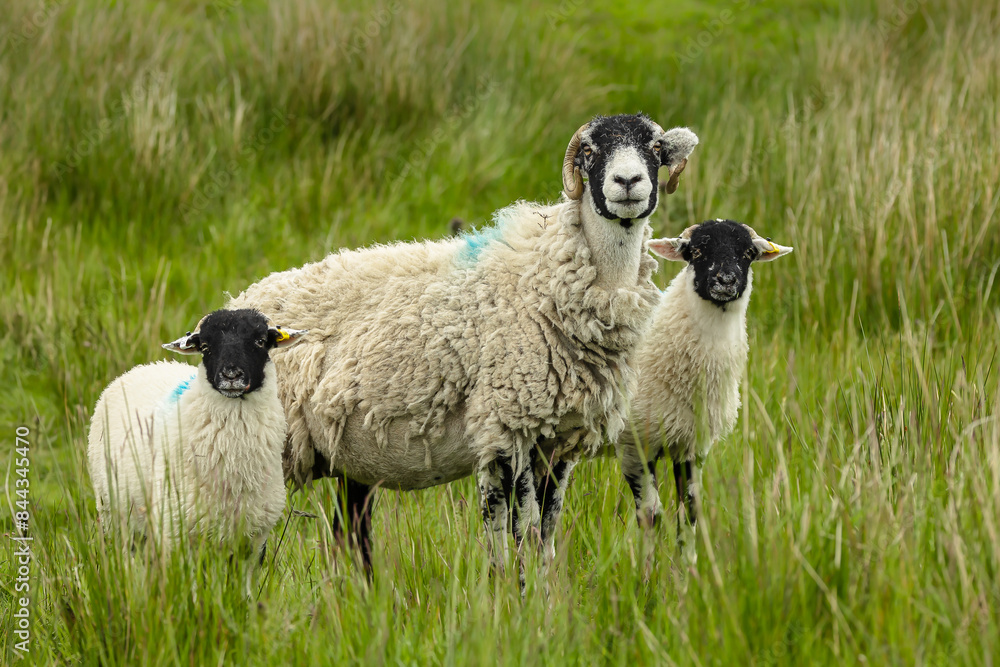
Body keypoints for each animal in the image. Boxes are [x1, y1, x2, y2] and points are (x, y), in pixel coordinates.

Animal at [87, 309, 307, 592]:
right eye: (205, 347)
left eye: (260, 341)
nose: (231, 375)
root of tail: (142, 367)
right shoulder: (179, 534)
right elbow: (189, 590)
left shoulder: (254, 538)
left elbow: (244, 591)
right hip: (116, 514)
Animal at [227, 113, 699, 574]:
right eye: (588, 150)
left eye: (655, 147)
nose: (628, 181)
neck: (545, 278)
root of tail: (239, 302)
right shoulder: (509, 426)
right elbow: (518, 535)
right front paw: (515, 594)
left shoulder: (558, 441)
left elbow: (543, 536)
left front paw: (542, 594)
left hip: (350, 462)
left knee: (352, 536)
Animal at [617, 219, 792, 565]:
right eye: (696, 251)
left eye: (748, 253)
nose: (726, 280)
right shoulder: (635, 444)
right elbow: (650, 515)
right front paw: (645, 573)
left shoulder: (693, 446)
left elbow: (689, 511)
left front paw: (687, 571)